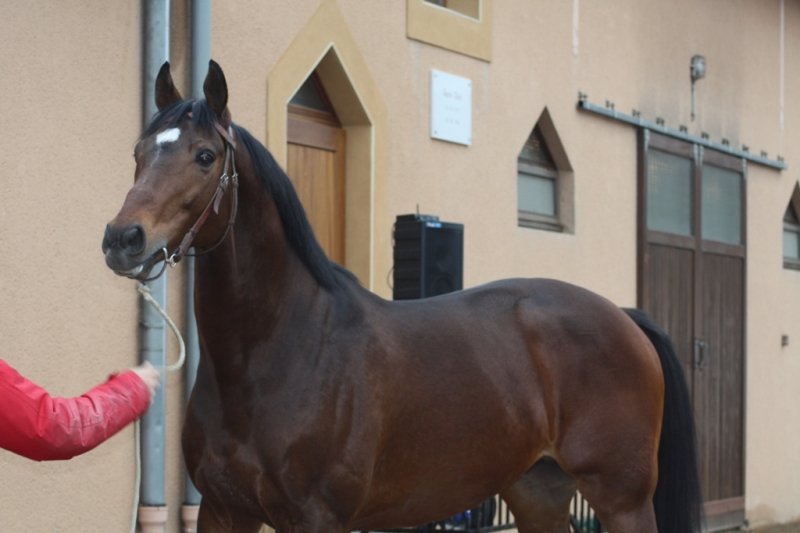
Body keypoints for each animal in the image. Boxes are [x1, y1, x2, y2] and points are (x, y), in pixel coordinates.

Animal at [101, 60, 702, 533]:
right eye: (137, 151)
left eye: (204, 156)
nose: (123, 239)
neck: (274, 352)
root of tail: (623, 317)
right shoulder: (224, 511)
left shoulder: (317, 518)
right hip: (538, 492)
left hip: (621, 498)